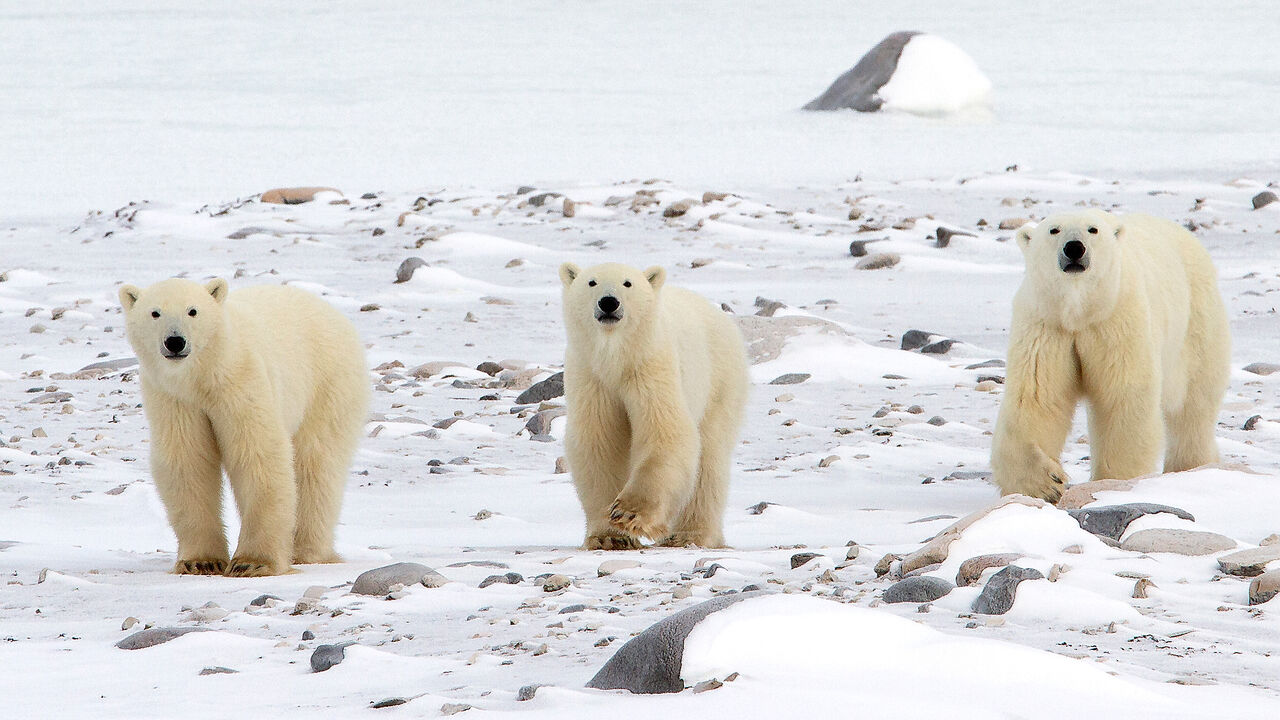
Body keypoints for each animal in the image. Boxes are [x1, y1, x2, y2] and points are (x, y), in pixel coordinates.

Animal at [119, 278, 371, 573]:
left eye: (192, 311)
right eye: (155, 313)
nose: (175, 341)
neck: (204, 375)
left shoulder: (241, 381)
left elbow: (256, 452)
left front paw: (252, 563)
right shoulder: (175, 399)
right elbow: (188, 460)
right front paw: (200, 562)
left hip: (327, 384)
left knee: (317, 462)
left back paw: (308, 551)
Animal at [560, 260, 747, 545]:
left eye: (628, 283)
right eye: (592, 282)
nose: (608, 302)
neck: (617, 358)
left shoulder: (651, 367)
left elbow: (664, 431)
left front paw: (629, 513)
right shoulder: (592, 377)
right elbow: (599, 442)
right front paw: (609, 538)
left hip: (720, 382)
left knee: (708, 458)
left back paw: (689, 535)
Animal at [988, 207, 1228, 499]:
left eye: (1093, 229)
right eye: (1054, 230)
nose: (1074, 248)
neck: (1080, 313)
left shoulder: (1117, 322)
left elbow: (1123, 397)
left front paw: (1114, 482)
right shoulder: (1047, 327)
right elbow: (1037, 398)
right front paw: (1046, 483)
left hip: (1196, 320)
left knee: (1195, 403)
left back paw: (1191, 465)